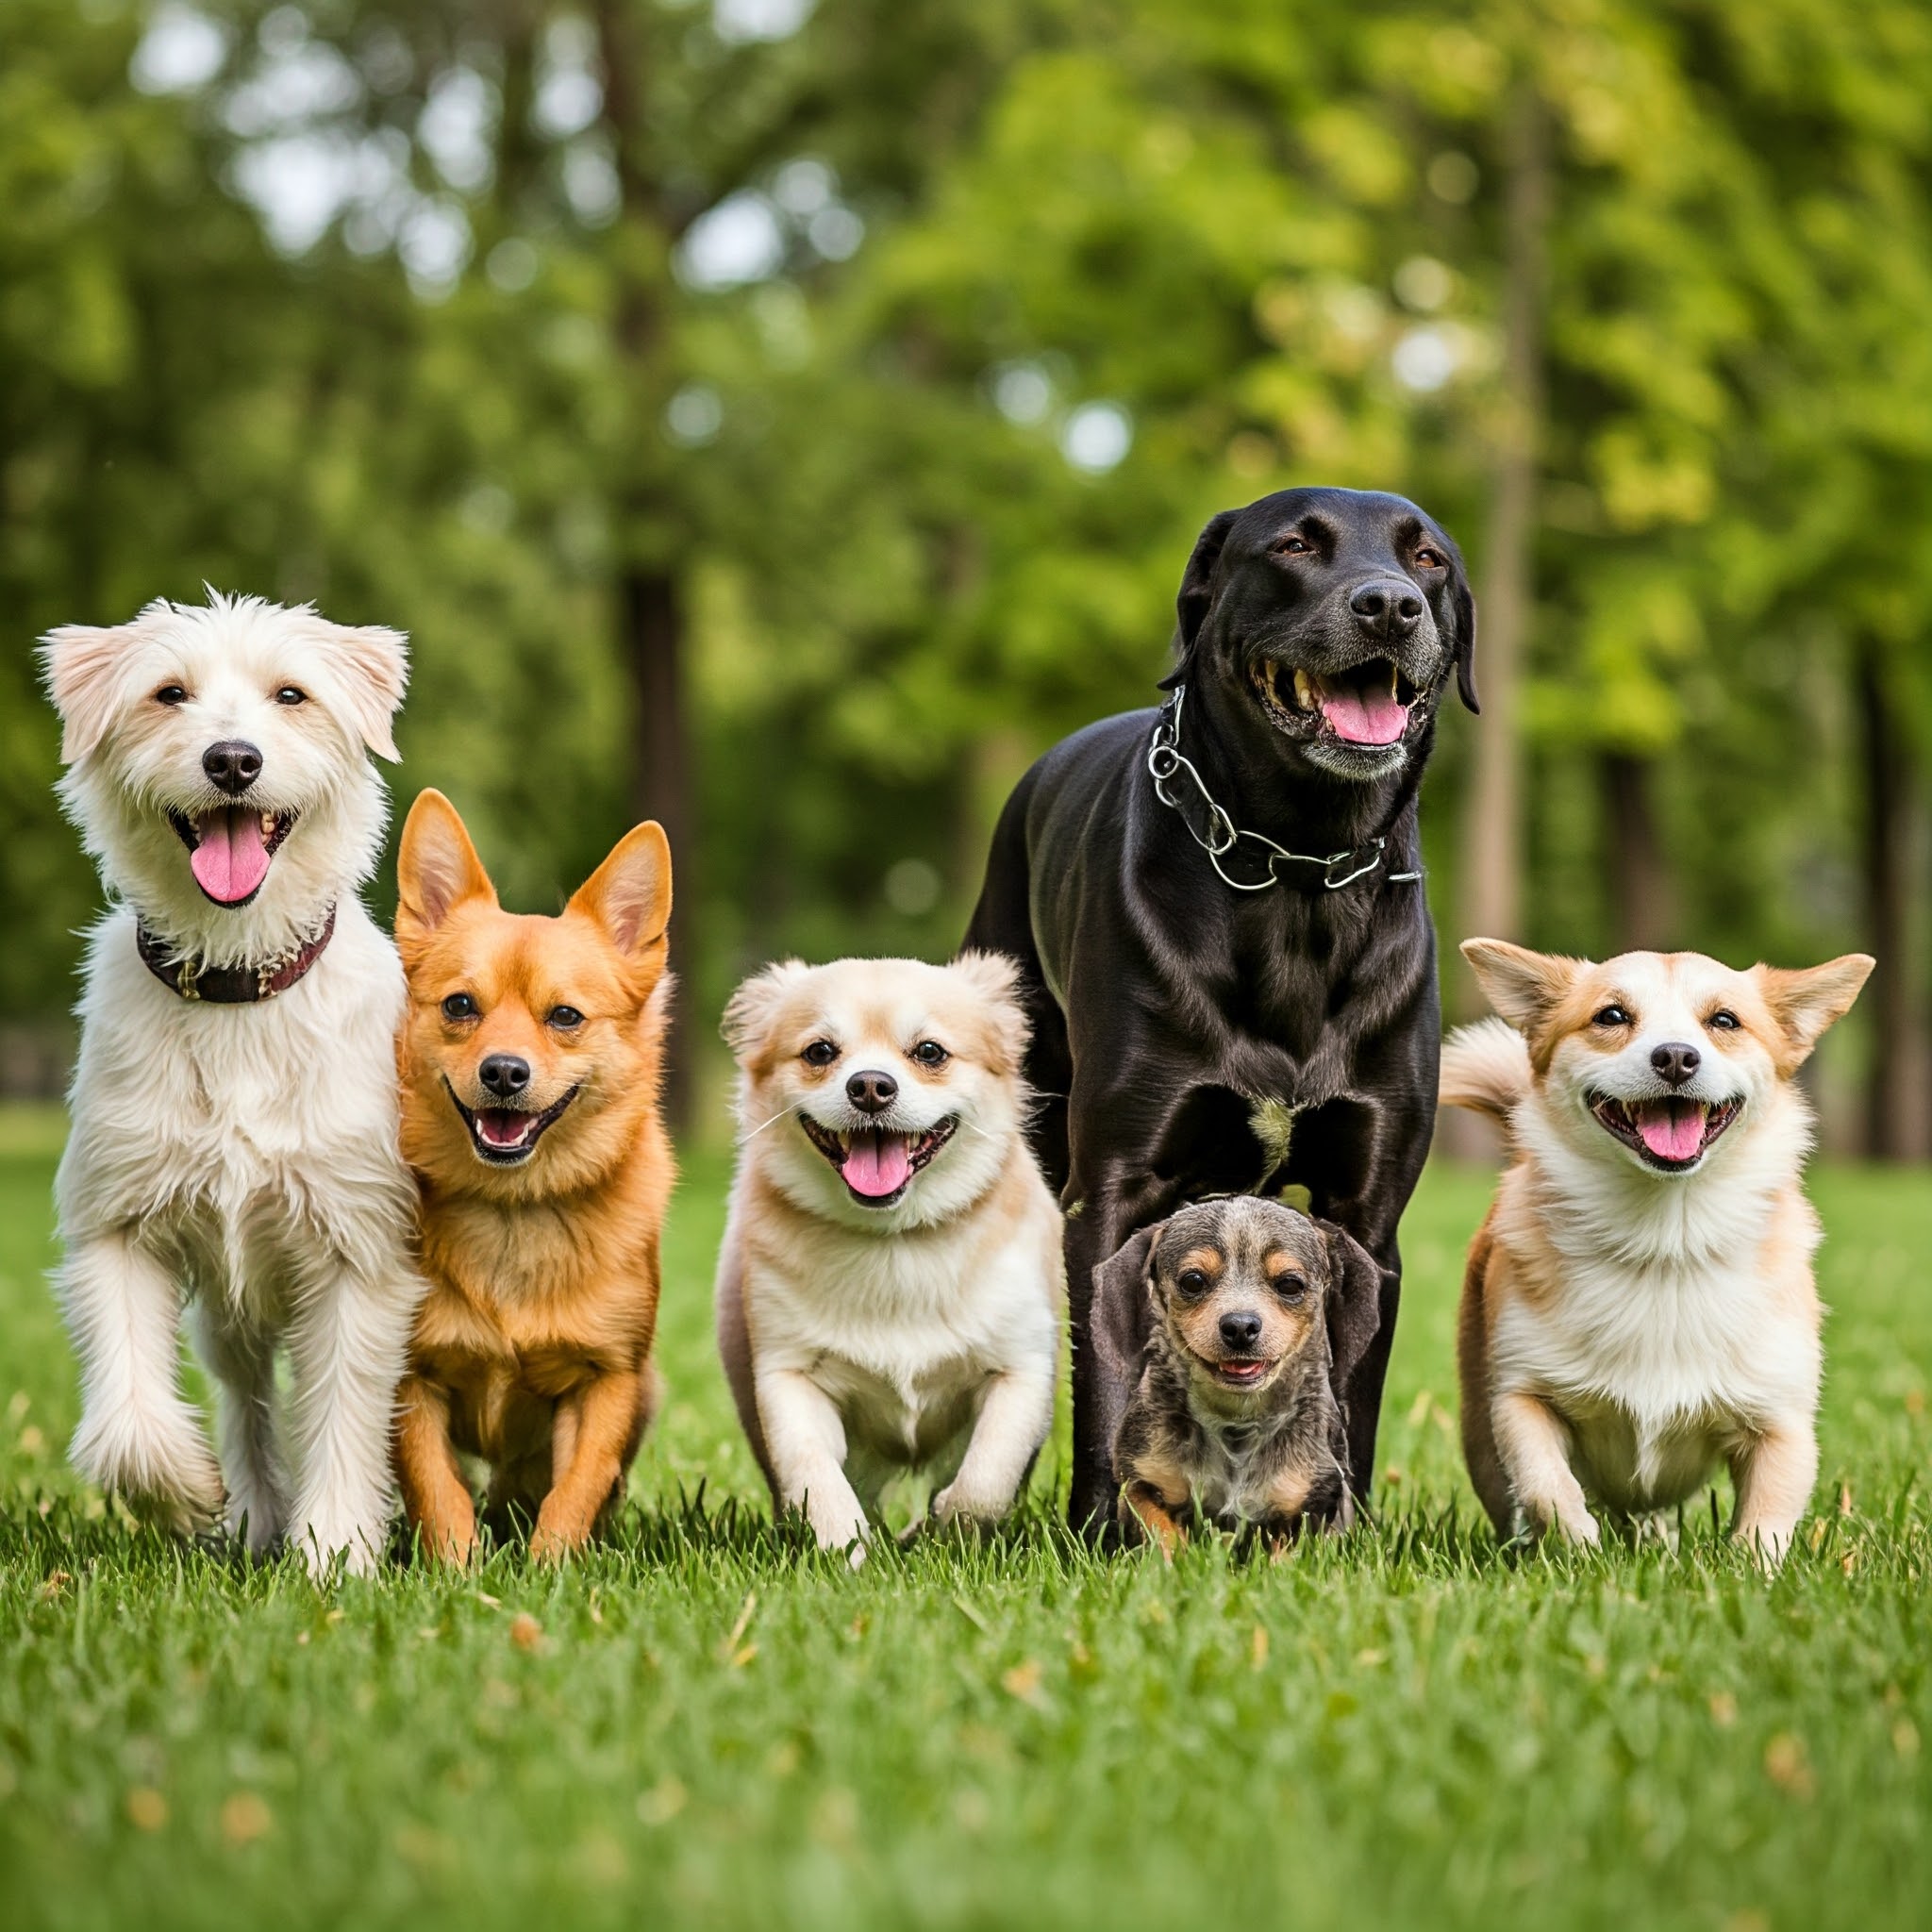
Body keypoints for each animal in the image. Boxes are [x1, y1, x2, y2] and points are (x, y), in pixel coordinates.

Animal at [42, 594, 426, 1576]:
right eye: (168, 694)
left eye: (290, 695)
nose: (232, 760)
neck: (236, 981)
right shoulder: (116, 1221)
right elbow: (128, 1410)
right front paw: (182, 1491)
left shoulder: (358, 1252)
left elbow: (342, 1416)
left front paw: (336, 1555)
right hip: (230, 1316)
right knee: (248, 1404)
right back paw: (252, 1513)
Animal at [388, 791, 675, 1560]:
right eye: (460, 1006)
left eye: (566, 1016)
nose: (504, 1072)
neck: (514, 1206)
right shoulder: (408, 1379)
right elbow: (437, 1487)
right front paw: (456, 1571)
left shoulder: (606, 1381)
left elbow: (578, 1484)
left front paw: (553, 1566)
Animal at [718, 950, 1066, 1553]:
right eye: (820, 1052)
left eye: (930, 1052)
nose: (870, 1086)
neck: (892, 1242)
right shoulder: (788, 1379)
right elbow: (812, 1473)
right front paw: (845, 1547)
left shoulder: (1020, 1371)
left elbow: (985, 1481)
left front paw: (946, 1527)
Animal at [1097, 1197, 1367, 1560]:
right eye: (1193, 1281)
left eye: (1290, 1284)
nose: (1240, 1326)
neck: (1235, 1423)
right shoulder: (1141, 1477)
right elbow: (1160, 1530)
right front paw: (1174, 1565)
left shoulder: (1312, 1501)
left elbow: (1285, 1556)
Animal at [1453, 939, 1870, 1568]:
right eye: (1611, 1016)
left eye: (1724, 1021)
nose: (1675, 1056)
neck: (1665, 1238)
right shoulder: (1521, 1398)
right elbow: (1546, 1484)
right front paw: (1580, 1550)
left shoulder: (1781, 1424)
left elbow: (1767, 1521)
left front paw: (1752, 1575)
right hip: (1480, 1433)